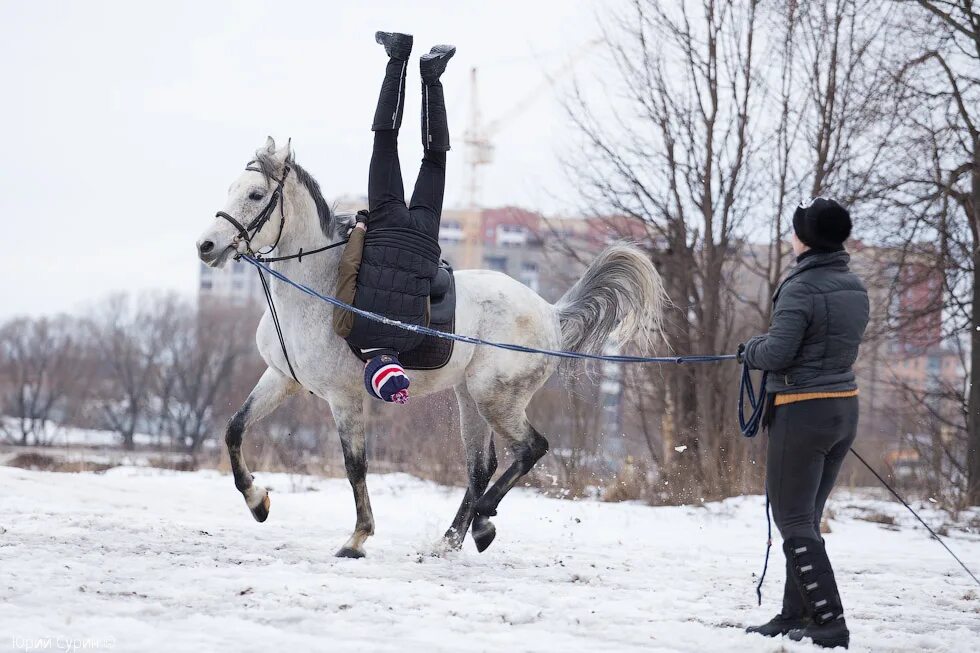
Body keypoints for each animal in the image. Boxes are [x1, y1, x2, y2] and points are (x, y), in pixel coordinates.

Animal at [195, 138, 668, 556]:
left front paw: (357, 538)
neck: (317, 287)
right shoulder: (281, 378)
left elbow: (355, 466)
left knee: (530, 448)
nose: (206, 246)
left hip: (494, 399)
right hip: (470, 399)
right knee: (481, 467)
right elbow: (235, 429)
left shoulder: (343, 398)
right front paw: (258, 502)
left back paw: (482, 521)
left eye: (256, 194)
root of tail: (551, 314)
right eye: (232, 189)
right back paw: (454, 538)